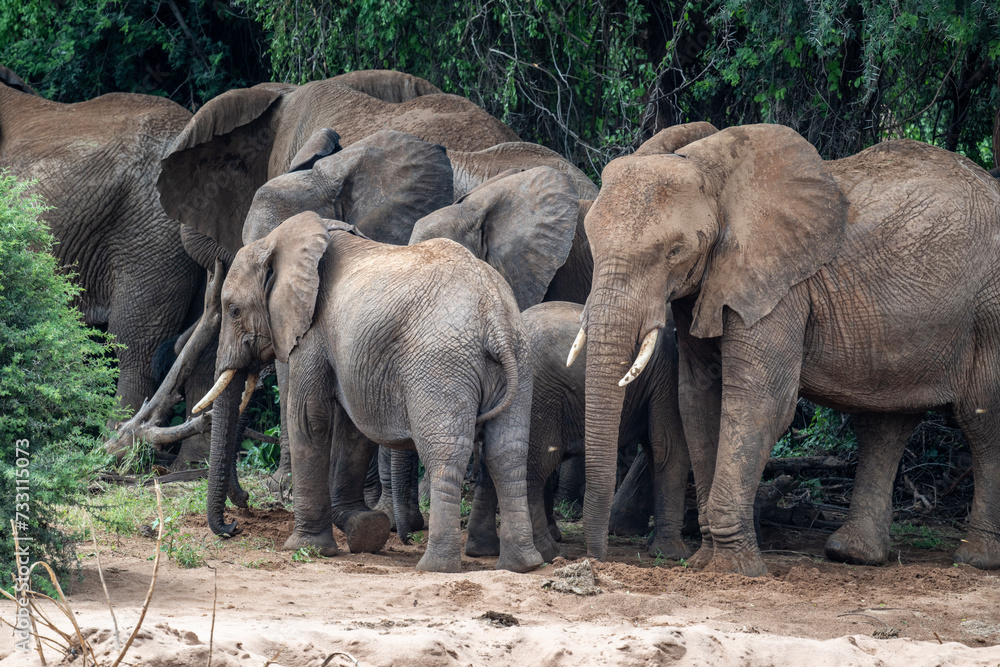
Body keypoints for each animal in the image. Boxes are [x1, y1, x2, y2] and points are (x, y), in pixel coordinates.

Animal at [194, 211, 543, 573]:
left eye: (234, 310)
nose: (235, 525)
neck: (282, 240)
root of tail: (495, 321)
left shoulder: (312, 330)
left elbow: (309, 418)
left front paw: (307, 547)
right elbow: (352, 428)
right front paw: (364, 528)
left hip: (442, 365)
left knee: (446, 455)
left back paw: (435, 567)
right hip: (519, 359)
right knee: (507, 452)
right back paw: (523, 564)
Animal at [463, 301, 691, 563]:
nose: (596, 558)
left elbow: (659, 450)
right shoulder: (669, 371)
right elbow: (669, 446)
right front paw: (672, 554)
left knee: (497, 463)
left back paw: (483, 549)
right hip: (539, 396)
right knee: (535, 468)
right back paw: (548, 552)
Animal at [576, 120, 1000, 576]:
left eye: (676, 251)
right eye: (591, 243)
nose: (597, 559)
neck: (715, 172)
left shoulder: (781, 286)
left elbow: (760, 402)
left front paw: (733, 570)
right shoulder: (707, 285)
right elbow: (698, 399)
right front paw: (707, 560)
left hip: (989, 309)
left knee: (982, 419)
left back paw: (977, 559)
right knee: (885, 422)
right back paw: (853, 554)